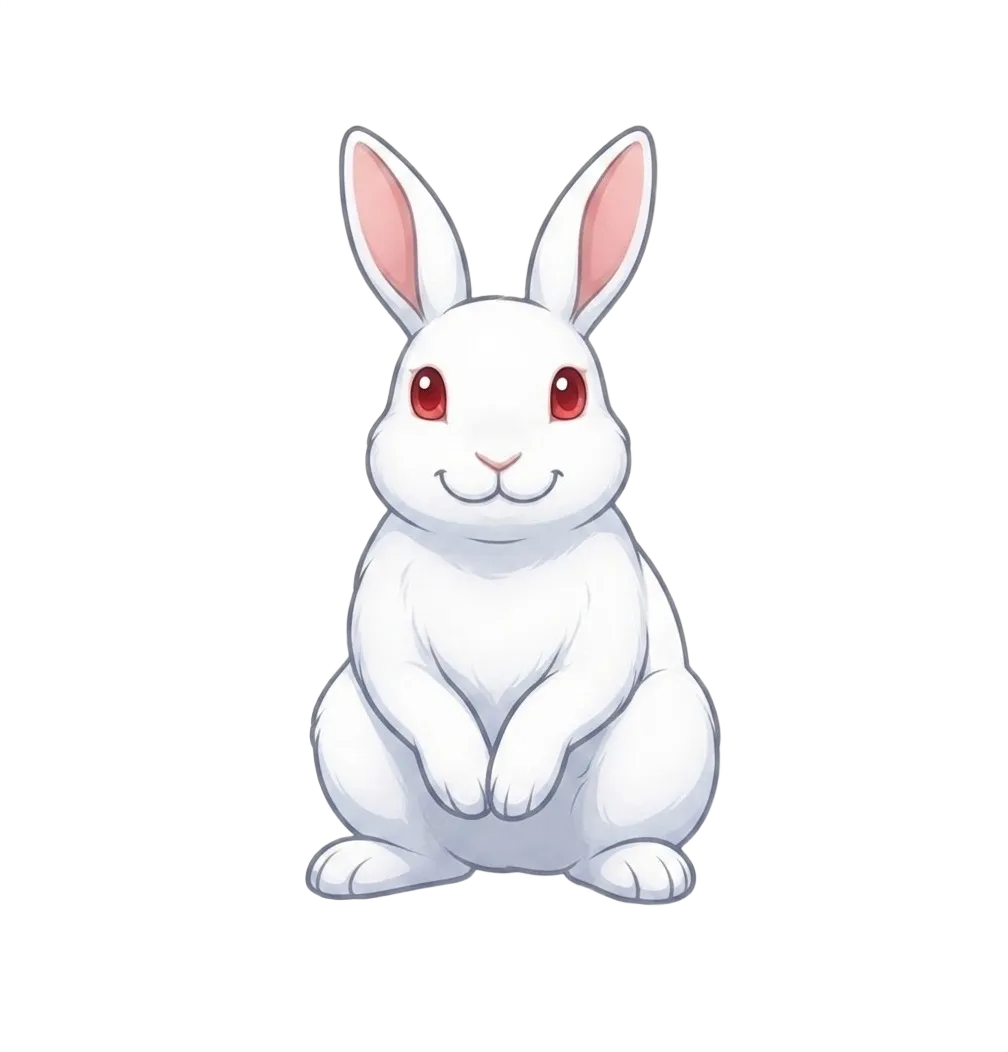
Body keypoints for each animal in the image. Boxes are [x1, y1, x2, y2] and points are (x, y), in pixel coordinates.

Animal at [307, 123, 720, 905]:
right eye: (426, 391)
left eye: (567, 392)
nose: (497, 457)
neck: (497, 554)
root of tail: (508, 863)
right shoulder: (383, 627)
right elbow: (414, 689)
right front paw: (471, 786)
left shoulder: (607, 623)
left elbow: (570, 692)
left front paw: (511, 789)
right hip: (347, 727)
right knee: (424, 855)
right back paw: (356, 867)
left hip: (670, 734)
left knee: (607, 847)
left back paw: (644, 870)